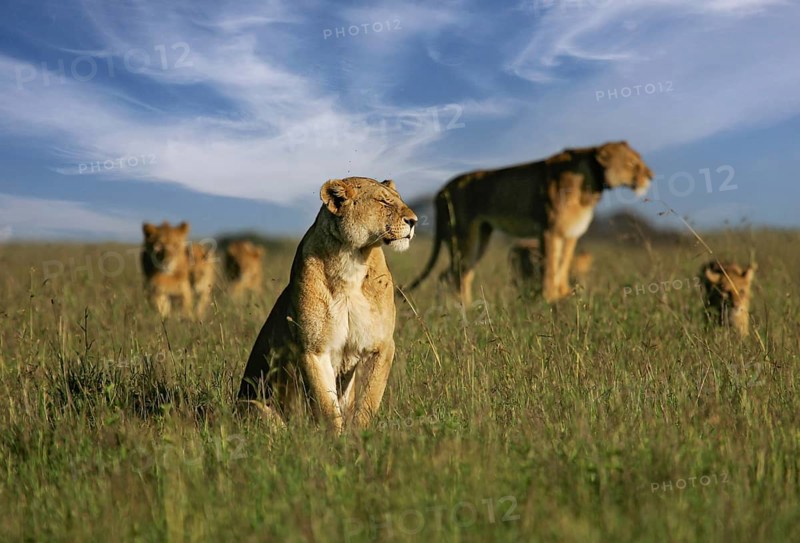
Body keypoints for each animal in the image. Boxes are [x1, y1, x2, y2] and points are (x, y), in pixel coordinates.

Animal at [237, 177, 418, 434]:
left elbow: (370, 397)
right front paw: (336, 439)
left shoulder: (381, 345)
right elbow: (326, 405)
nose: (414, 221)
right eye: (383, 201)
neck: (352, 259)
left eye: (399, 199)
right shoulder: (313, 350)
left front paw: (360, 435)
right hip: (251, 404)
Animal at [405, 141, 652, 305]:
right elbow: (550, 266)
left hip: (479, 238)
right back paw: (462, 308)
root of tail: (441, 190)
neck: (591, 182)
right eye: (633, 163)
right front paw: (549, 298)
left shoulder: (570, 233)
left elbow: (564, 264)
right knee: (453, 275)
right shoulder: (549, 230)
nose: (650, 176)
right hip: (465, 238)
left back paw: (464, 307)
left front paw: (564, 293)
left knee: (457, 274)